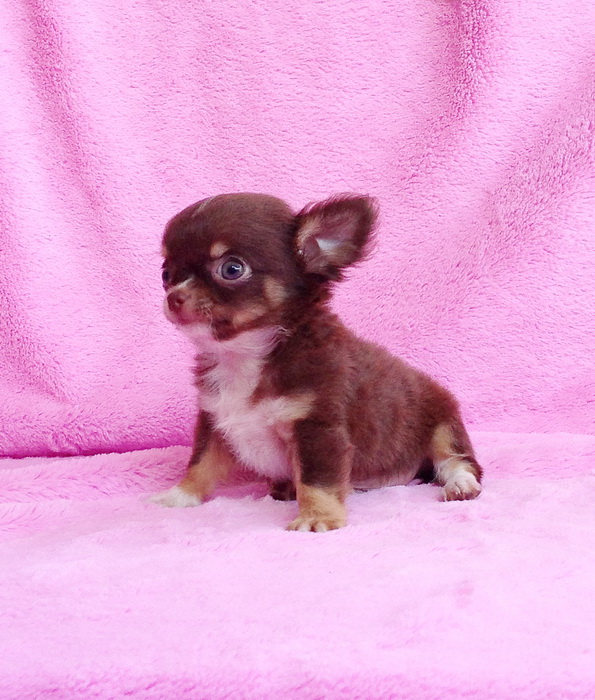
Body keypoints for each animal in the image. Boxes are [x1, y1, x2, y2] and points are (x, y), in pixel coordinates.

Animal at [151, 193, 482, 531]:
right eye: (166, 274)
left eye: (231, 269)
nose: (173, 297)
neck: (244, 356)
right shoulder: (214, 419)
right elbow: (201, 463)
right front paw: (180, 495)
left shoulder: (317, 429)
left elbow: (317, 480)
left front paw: (316, 517)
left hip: (444, 424)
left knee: (457, 461)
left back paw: (460, 485)